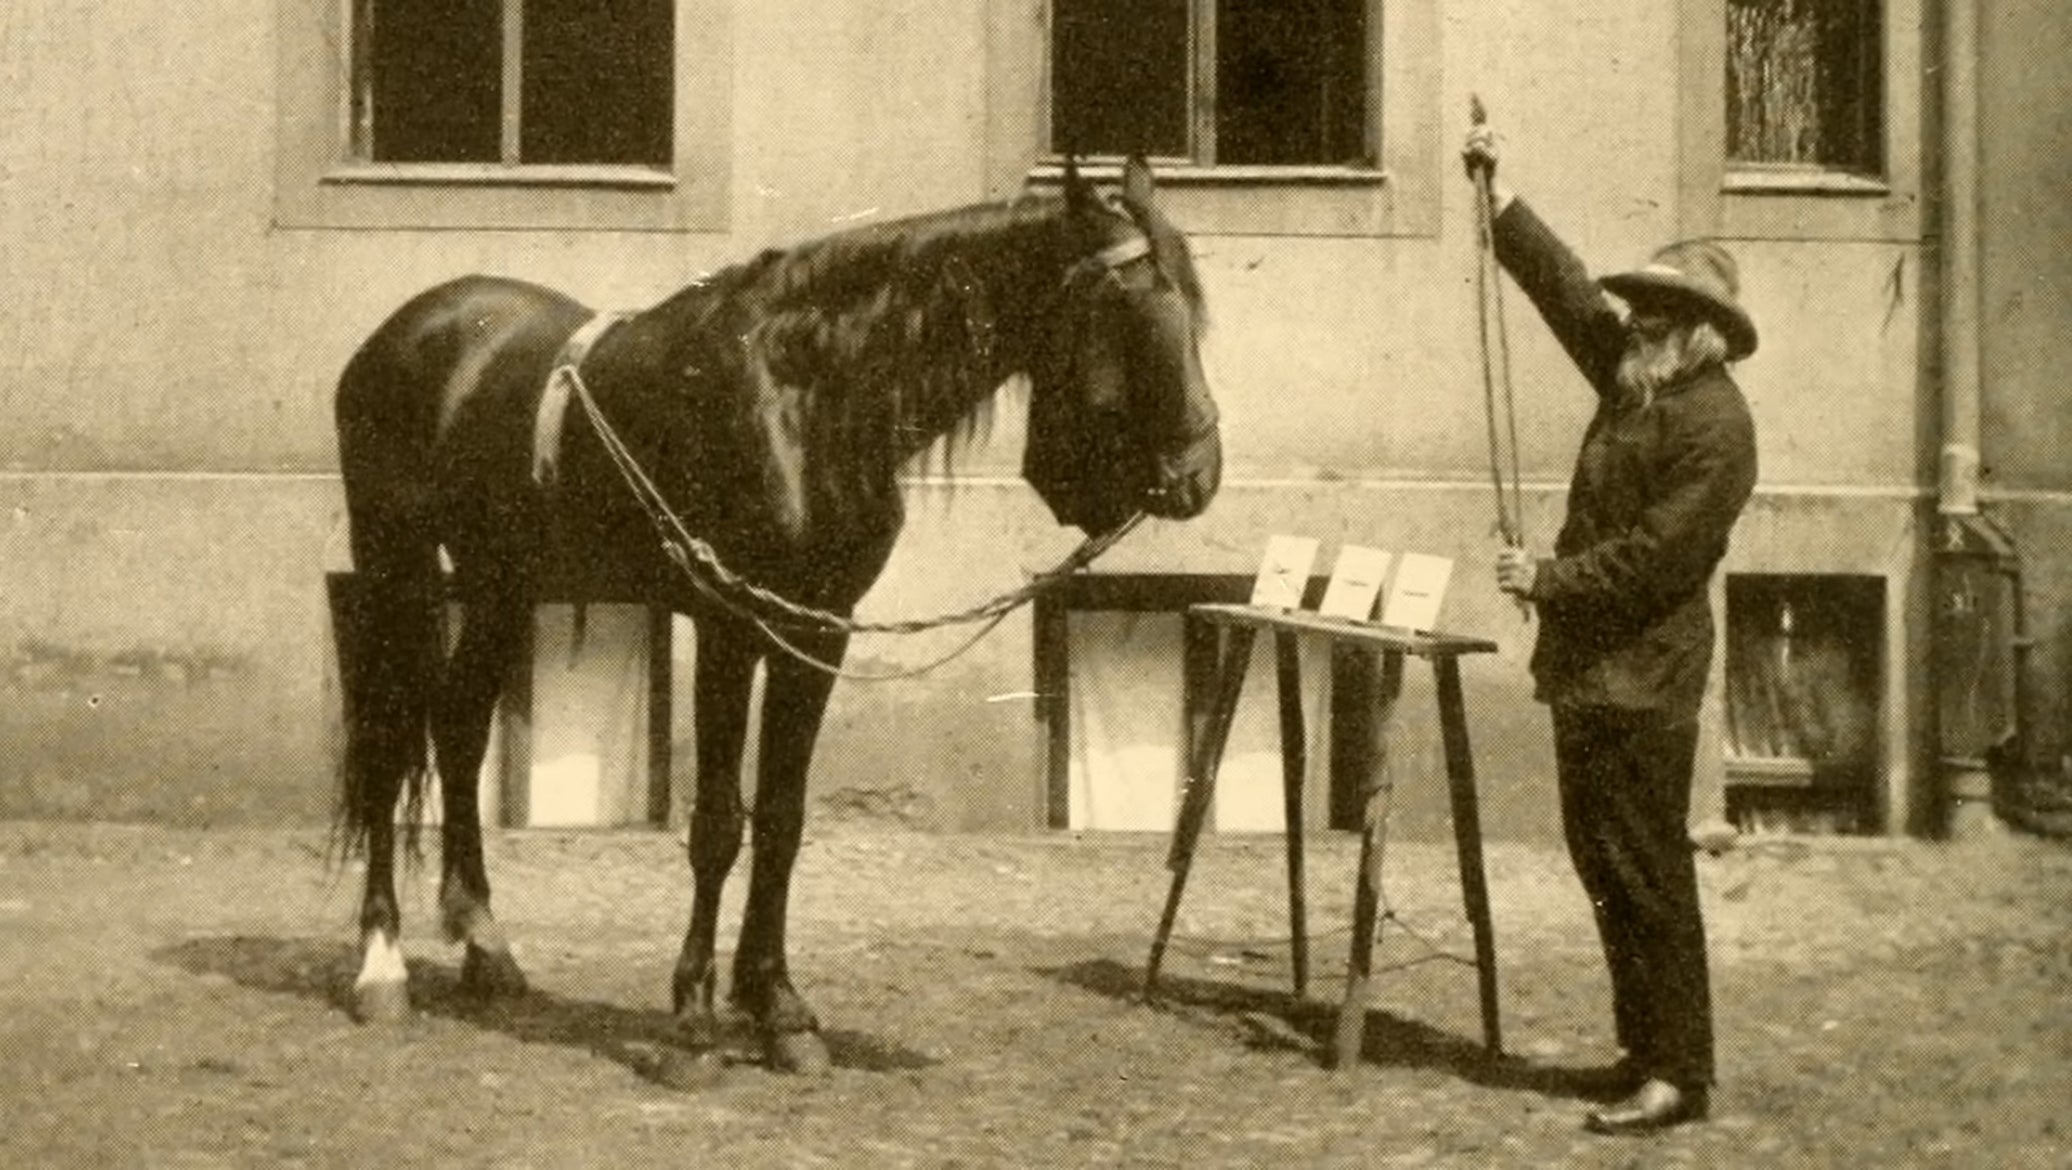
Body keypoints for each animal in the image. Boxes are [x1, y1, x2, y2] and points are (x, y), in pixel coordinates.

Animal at [330, 157, 1222, 1079]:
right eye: (1129, 312)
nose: (1198, 475)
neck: (804, 400)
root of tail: (410, 330)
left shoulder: (815, 630)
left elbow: (783, 820)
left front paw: (779, 1010)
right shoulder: (730, 626)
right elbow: (720, 824)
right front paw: (693, 1019)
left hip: (503, 583)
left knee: (459, 728)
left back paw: (487, 946)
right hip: (399, 569)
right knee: (390, 742)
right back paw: (382, 968)